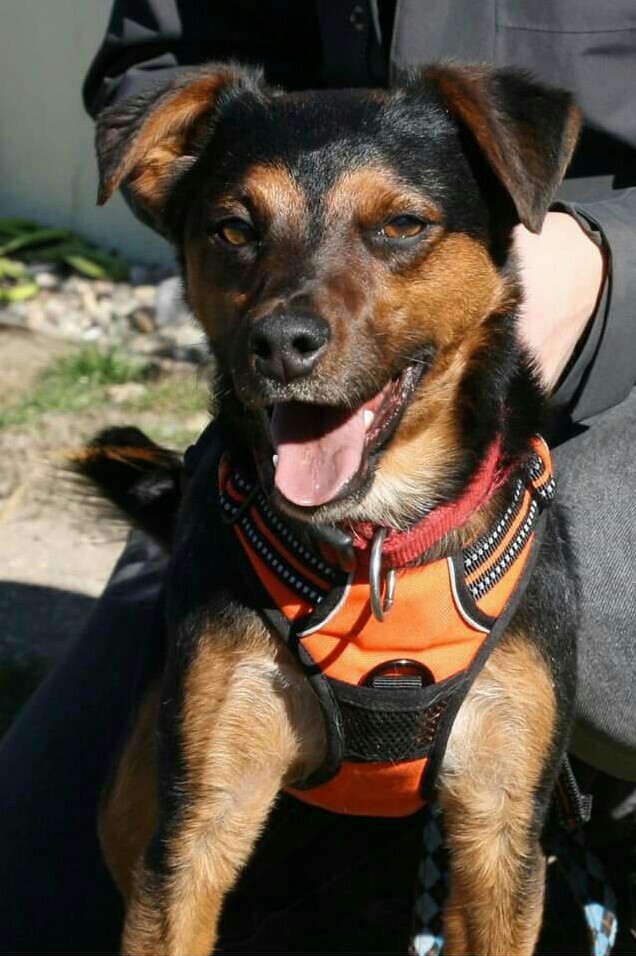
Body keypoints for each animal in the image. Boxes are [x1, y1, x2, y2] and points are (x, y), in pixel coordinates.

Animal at [81, 62, 581, 955]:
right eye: (234, 229)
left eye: (403, 225)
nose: (280, 344)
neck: (376, 539)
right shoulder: (197, 828)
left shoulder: (501, 834)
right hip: (135, 797)